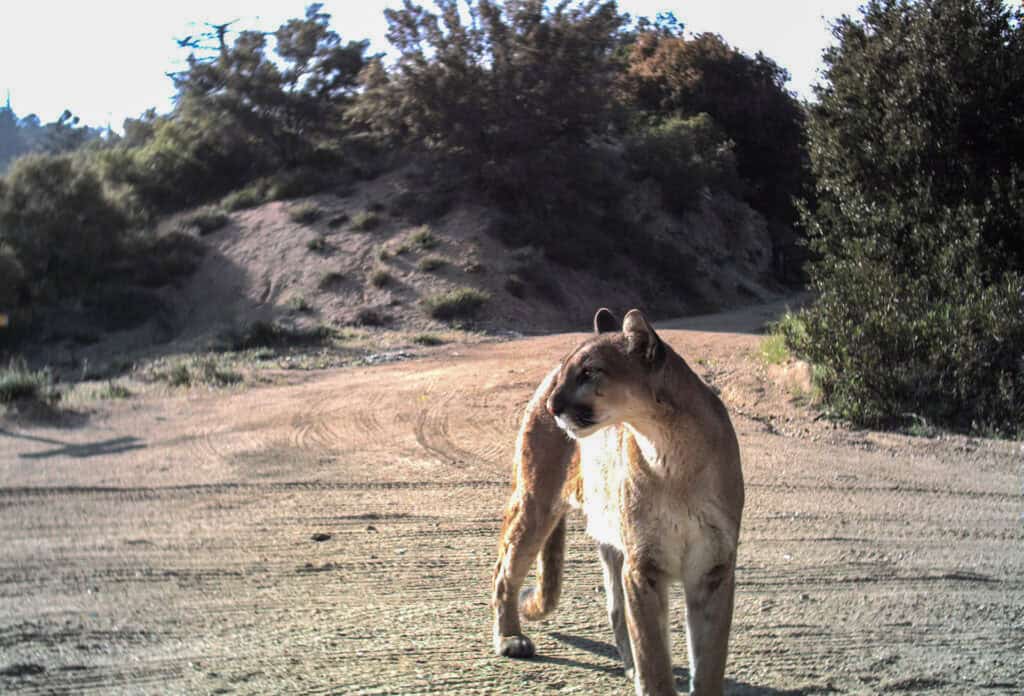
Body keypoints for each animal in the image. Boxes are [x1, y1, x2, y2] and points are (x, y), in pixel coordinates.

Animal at [491, 308, 744, 695]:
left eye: (589, 372)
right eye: (567, 371)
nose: (553, 405)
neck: (674, 455)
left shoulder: (713, 567)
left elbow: (710, 661)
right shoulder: (644, 566)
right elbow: (654, 656)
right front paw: (651, 680)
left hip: (610, 537)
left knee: (614, 607)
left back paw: (628, 667)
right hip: (536, 502)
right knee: (504, 570)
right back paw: (510, 638)